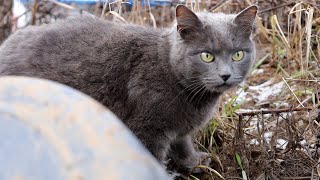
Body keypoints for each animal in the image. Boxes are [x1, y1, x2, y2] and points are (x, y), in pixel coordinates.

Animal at [0, 5, 256, 172]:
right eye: (206, 56)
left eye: (238, 54)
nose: (225, 75)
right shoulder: (147, 128)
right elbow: (152, 156)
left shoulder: (179, 128)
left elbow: (183, 142)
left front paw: (193, 162)